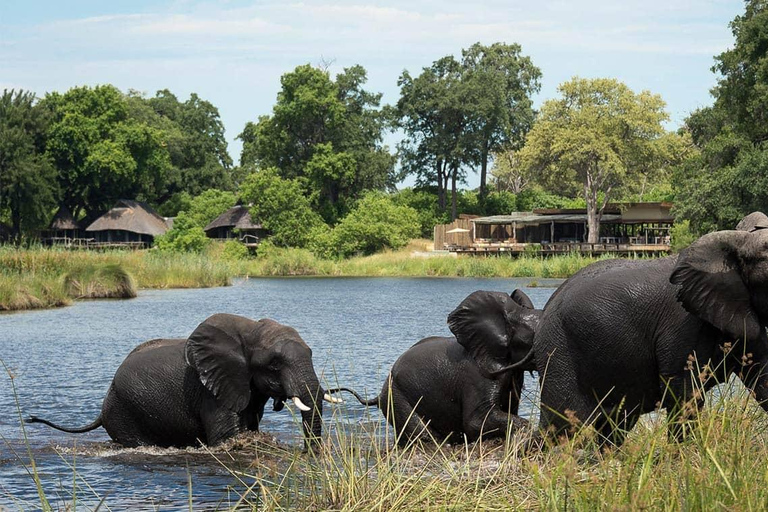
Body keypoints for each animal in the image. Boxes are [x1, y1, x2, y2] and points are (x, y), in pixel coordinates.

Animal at [27, 312, 340, 448]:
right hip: (124, 412)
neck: (250, 330)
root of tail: (101, 411)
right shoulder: (210, 390)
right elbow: (227, 437)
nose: (310, 454)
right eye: (274, 364)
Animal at [536, 218, 768, 446]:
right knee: (558, 428)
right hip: (559, 353)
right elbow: (685, 394)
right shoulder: (683, 324)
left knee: (613, 427)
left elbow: (762, 378)